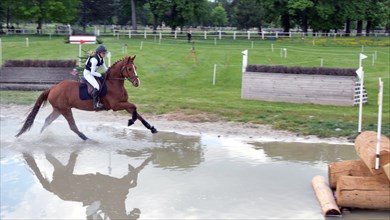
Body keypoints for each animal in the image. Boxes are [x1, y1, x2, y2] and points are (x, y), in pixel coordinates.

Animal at [15, 55, 157, 140]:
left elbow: (137, 112)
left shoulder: (124, 103)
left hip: (58, 109)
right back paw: (86, 138)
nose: (137, 83)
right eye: (129, 69)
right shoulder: (116, 106)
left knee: (47, 121)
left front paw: (151, 128)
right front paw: (130, 121)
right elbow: (134, 107)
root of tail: (52, 88)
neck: (114, 83)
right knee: (72, 126)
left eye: (135, 67)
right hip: (65, 109)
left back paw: (41, 136)